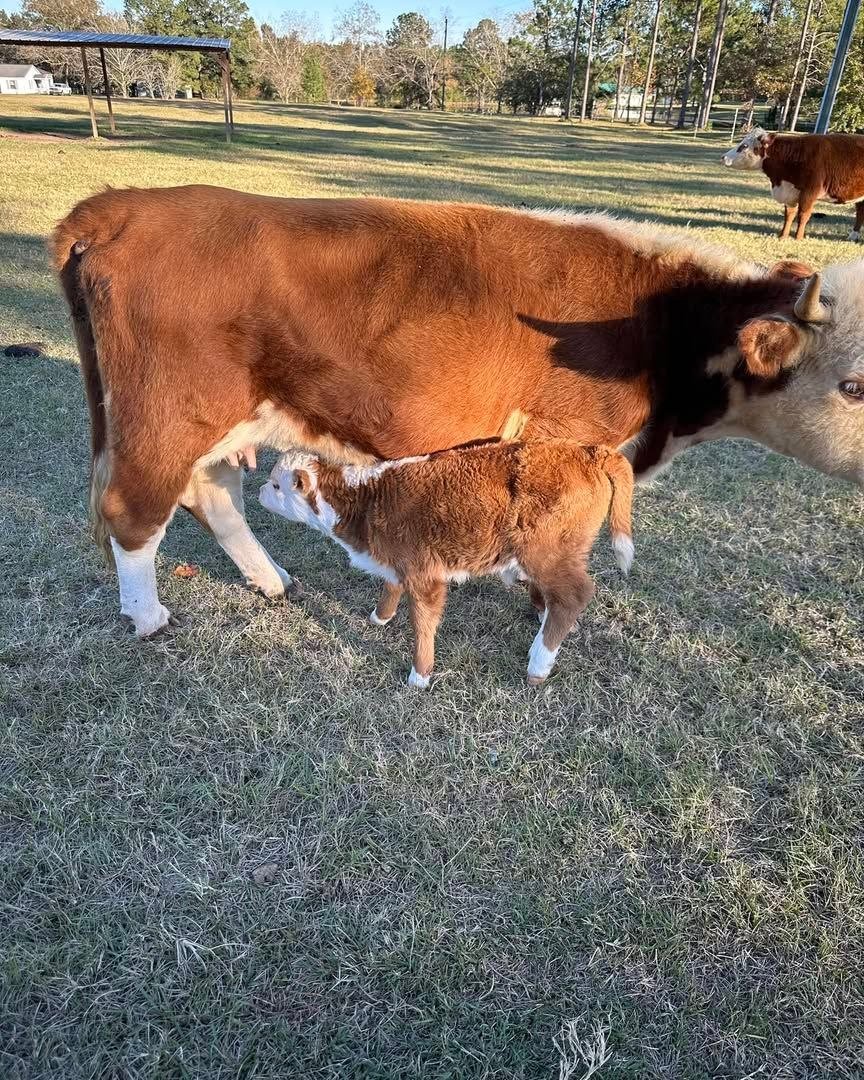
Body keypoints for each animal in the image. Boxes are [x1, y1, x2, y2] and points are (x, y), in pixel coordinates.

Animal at [52, 186, 864, 638]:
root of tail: (121, 205)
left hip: (228, 418)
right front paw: (533, 595)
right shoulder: (564, 439)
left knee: (214, 494)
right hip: (165, 414)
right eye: (853, 386)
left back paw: (271, 579)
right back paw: (148, 616)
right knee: (135, 510)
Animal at [258, 440, 634, 687]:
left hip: (546, 549)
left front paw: (420, 675)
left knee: (575, 595)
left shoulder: (425, 575)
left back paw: (538, 664)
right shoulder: (399, 562)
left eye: (277, 485)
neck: (365, 500)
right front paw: (380, 617)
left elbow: (423, 624)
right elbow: (390, 586)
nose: (260, 490)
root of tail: (589, 451)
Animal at [723, 128, 864, 241]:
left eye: (744, 146)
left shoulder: (809, 192)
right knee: (860, 213)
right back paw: (853, 236)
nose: (723, 157)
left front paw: (798, 238)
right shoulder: (790, 193)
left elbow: (803, 215)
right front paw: (783, 236)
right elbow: (789, 215)